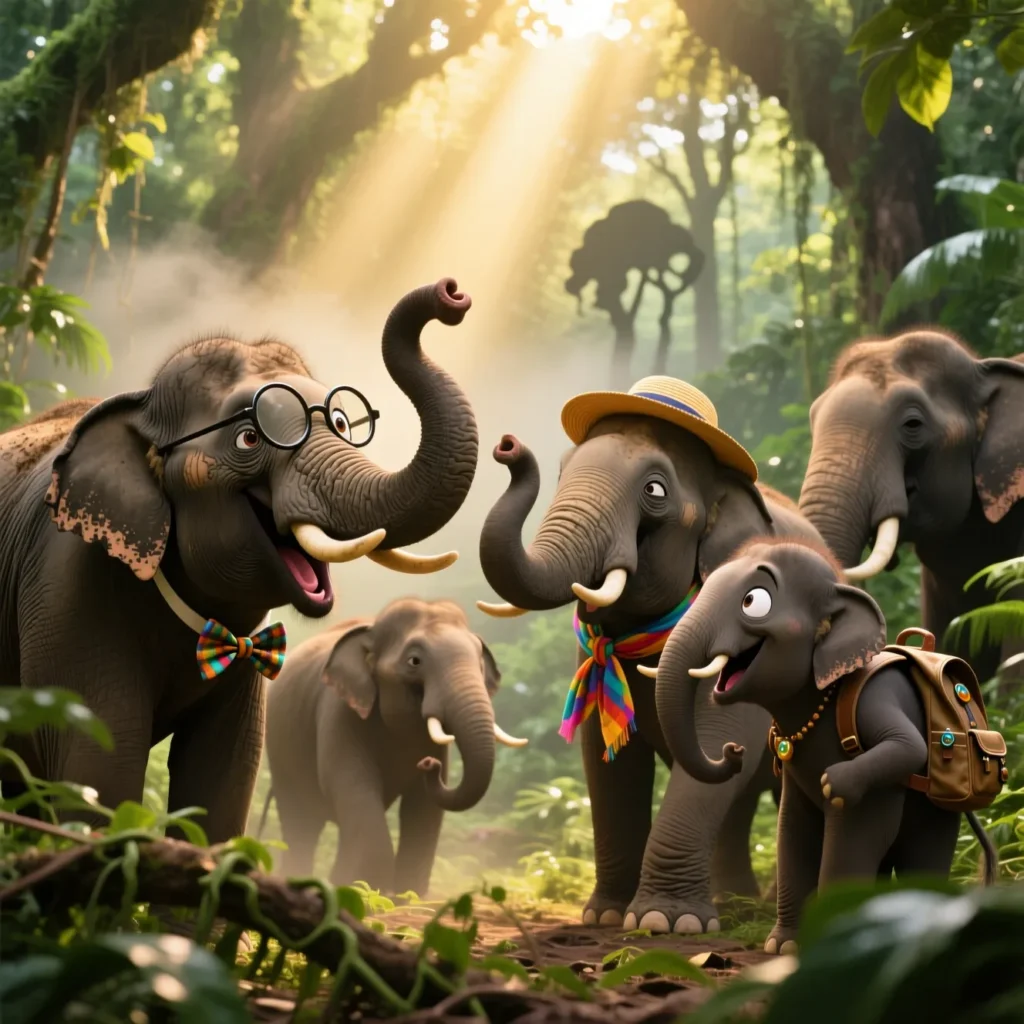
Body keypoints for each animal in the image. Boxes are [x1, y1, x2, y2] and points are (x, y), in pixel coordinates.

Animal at [0, 278, 480, 844]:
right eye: (250, 437)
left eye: (344, 423)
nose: (451, 294)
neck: (137, 407)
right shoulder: (68, 591)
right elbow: (99, 779)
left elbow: (220, 787)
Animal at [259, 597, 526, 893]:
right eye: (414, 661)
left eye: (480, 662)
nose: (428, 763)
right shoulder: (337, 712)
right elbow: (352, 785)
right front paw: (359, 890)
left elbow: (423, 808)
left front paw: (402, 895)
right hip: (282, 758)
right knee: (302, 824)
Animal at [475, 375, 826, 934]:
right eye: (562, 472)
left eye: (655, 490)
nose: (507, 446)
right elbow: (607, 758)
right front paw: (603, 916)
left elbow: (720, 729)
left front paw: (664, 922)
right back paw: (734, 905)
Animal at [648, 537, 999, 955]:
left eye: (753, 602)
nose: (733, 752)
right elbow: (791, 833)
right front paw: (782, 947)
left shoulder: (874, 699)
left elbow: (901, 756)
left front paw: (834, 783)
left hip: (938, 806)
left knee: (921, 854)